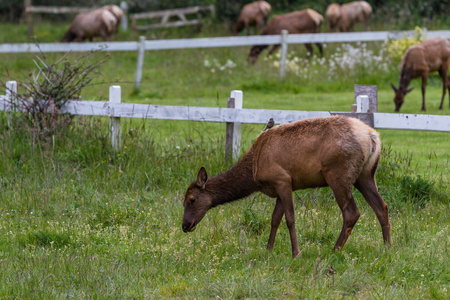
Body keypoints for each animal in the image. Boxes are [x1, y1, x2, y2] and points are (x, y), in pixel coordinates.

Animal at [181, 116, 392, 256]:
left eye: (192, 199)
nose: (185, 225)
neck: (254, 172)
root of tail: (373, 137)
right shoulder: (280, 187)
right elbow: (274, 219)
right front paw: (268, 249)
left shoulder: (282, 180)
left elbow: (290, 219)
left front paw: (296, 252)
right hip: (365, 175)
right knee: (382, 206)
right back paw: (387, 248)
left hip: (338, 173)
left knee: (352, 212)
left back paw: (335, 249)